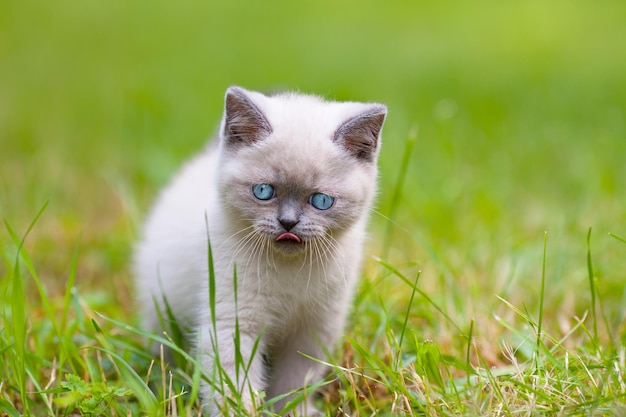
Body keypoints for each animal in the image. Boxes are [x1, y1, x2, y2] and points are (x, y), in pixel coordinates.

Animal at [134, 86, 382, 414]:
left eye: (321, 201)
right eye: (263, 192)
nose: (288, 222)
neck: (290, 272)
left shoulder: (313, 330)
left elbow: (296, 382)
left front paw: (294, 411)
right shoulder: (235, 322)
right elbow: (233, 383)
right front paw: (241, 411)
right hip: (162, 311)